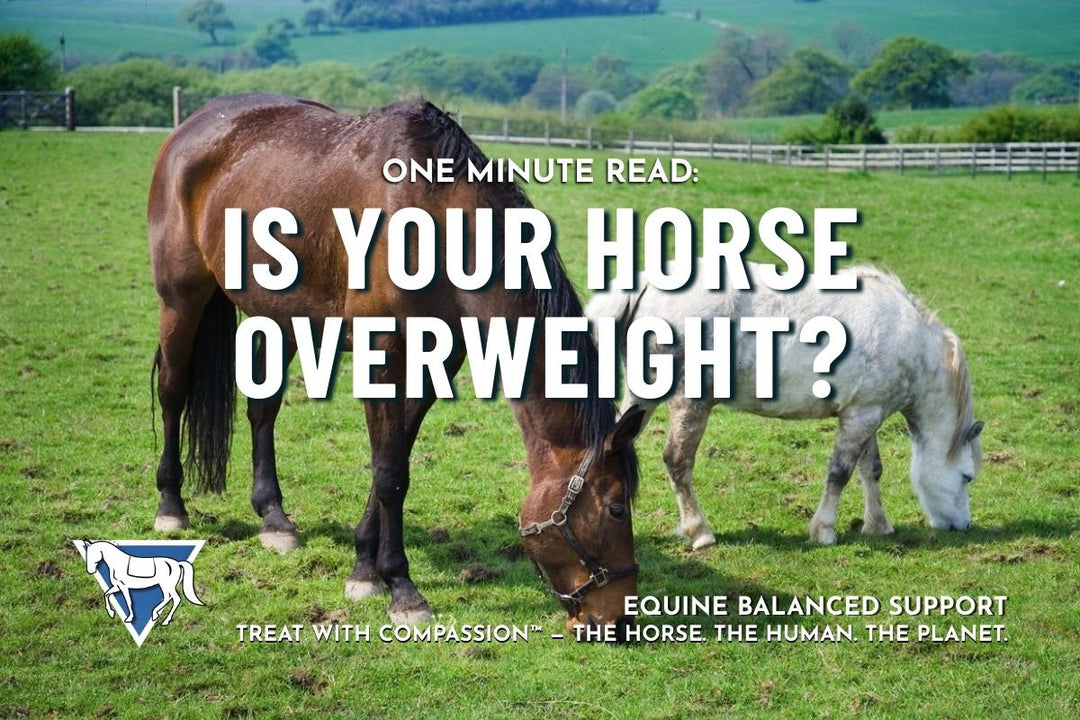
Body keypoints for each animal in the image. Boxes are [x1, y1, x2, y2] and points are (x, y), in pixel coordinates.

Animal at [148, 94, 644, 633]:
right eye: (616, 509)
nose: (620, 620)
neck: (437, 220)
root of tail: (195, 124)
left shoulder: (435, 362)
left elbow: (395, 460)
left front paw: (365, 567)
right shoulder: (383, 356)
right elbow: (389, 472)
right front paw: (403, 588)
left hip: (281, 317)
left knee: (263, 410)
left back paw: (274, 519)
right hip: (181, 300)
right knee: (173, 391)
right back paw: (171, 505)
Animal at [585, 263, 983, 548]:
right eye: (967, 477)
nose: (962, 525)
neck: (908, 338)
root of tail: (648, 283)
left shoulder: (865, 413)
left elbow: (870, 470)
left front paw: (878, 525)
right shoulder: (861, 417)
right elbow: (839, 473)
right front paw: (824, 530)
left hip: (642, 395)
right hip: (690, 403)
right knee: (677, 461)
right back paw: (700, 532)